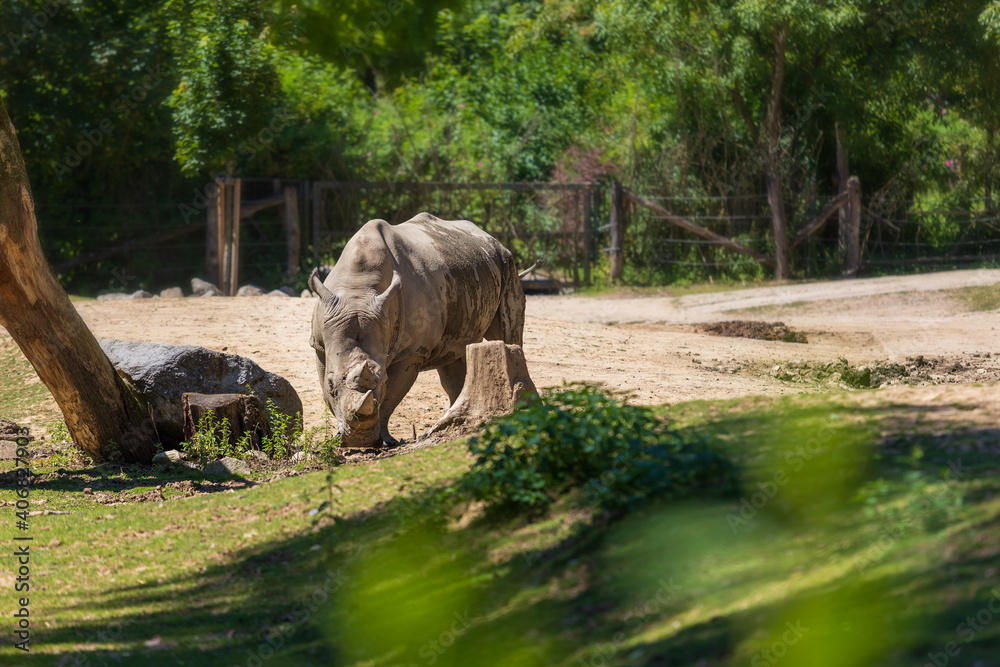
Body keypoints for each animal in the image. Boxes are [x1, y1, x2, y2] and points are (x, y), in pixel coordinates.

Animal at [309, 212, 529, 448]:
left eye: (383, 381)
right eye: (331, 384)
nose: (361, 441)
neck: (357, 290)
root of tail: (489, 237)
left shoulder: (412, 352)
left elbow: (390, 398)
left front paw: (386, 441)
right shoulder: (320, 345)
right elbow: (326, 390)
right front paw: (338, 439)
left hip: (507, 263)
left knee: (507, 335)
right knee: (454, 353)